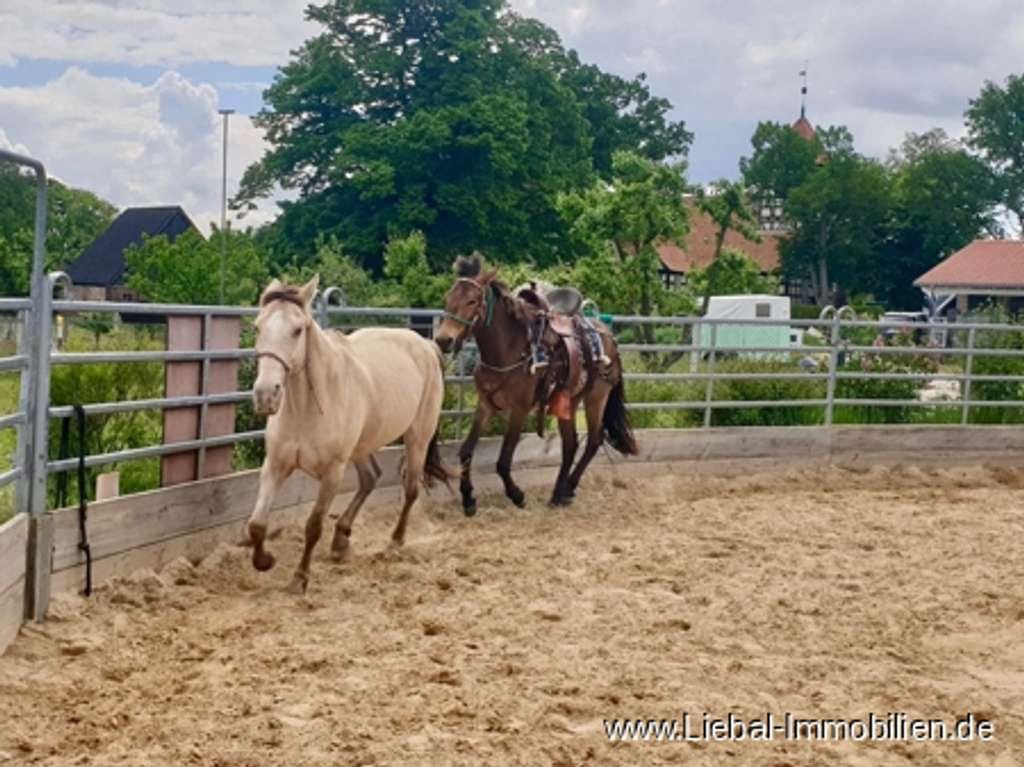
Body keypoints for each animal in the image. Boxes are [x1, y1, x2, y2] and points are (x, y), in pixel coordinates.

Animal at [246, 276, 452, 593]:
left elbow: (313, 526)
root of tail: (426, 345)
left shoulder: (333, 472)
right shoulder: (276, 465)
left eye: (297, 330)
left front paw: (300, 578)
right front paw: (265, 561)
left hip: (417, 438)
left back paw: (394, 542)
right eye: (258, 327)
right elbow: (257, 524)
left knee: (410, 489)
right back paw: (341, 540)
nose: (266, 395)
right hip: (363, 446)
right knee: (371, 478)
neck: (307, 407)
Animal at [434, 254, 637, 512]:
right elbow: (466, 451)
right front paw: (468, 498)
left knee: (593, 440)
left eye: (472, 300)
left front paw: (516, 495)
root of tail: (608, 335)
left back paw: (568, 487)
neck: (509, 349)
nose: (444, 340)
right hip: (569, 401)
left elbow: (503, 460)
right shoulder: (486, 405)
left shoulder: (519, 409)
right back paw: (559, 493)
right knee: (570, 444)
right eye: (447, 298)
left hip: (596, 398)